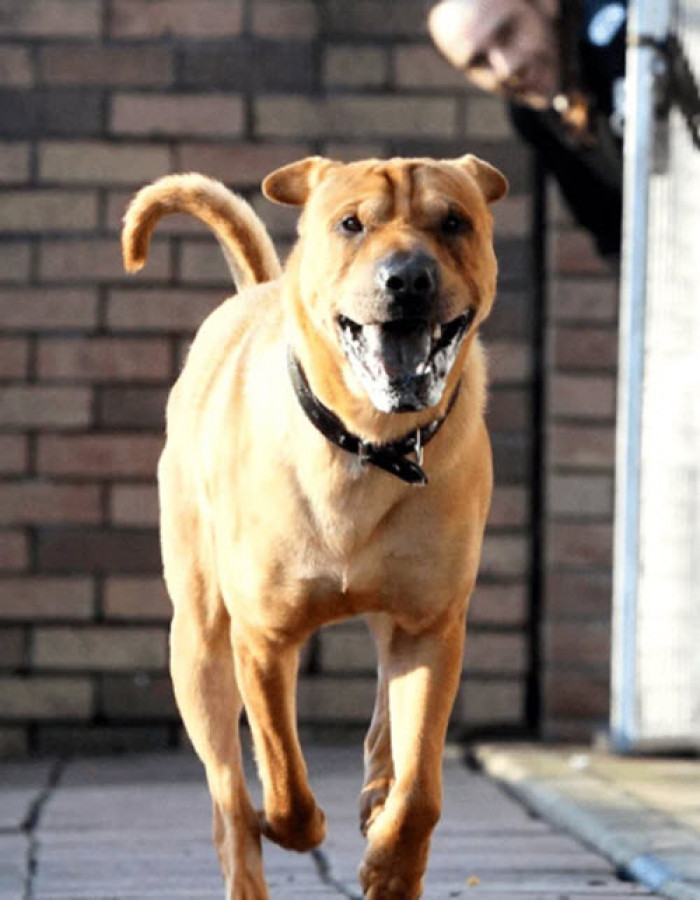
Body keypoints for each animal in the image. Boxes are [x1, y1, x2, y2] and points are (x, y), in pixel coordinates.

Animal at [121, 155, 508, 900]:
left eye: (454, 222)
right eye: (351, 224)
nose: (408, 277)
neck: (369, 442)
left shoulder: (432, 627)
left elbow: (421, 788)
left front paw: (390, 865)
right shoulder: (263, 639)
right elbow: (282, 778)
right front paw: (295, 824)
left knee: (386, 723)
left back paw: (377, 793)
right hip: (199, 644)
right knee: (227, 792)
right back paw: (249, 857)